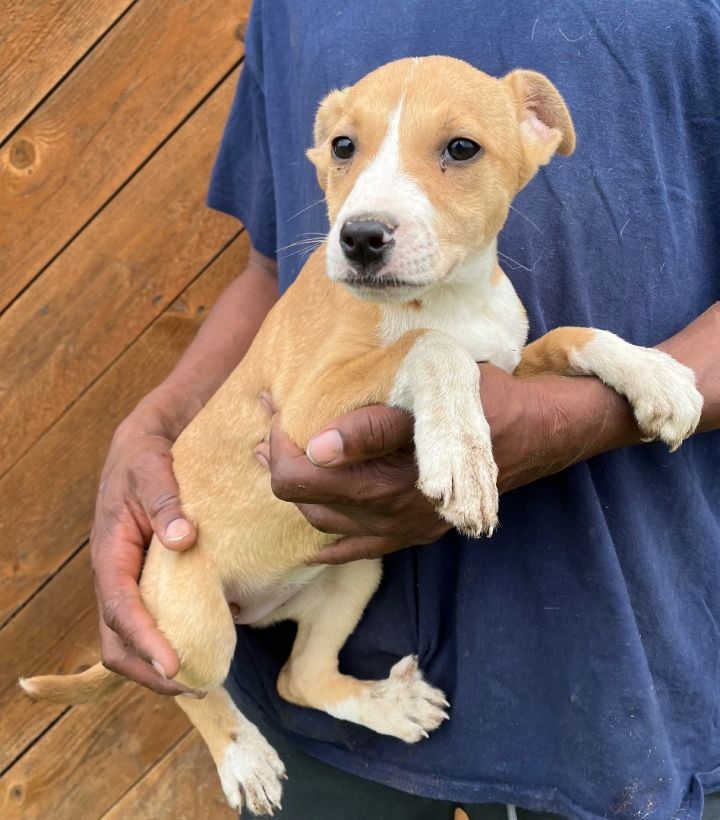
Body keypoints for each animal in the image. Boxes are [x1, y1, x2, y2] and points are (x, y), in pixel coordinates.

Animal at [22, 56, 704, 812]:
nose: (360, 238)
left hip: (353, 576)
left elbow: (569, 336)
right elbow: (428, 347)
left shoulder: (509, 368)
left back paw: (389, 706)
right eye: (343, 147)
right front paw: (460, 451)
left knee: (298, 678)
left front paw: (655, 375)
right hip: (196, 629)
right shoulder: (302, 415)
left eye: (461, 149)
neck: (449, 295)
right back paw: (243, 757)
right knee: (182, 686)